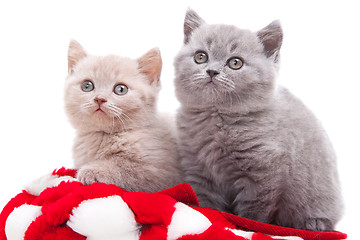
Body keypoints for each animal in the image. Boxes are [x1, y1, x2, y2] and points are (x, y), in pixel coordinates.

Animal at [64, 40, 181, 192]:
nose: (99, 99)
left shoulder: (159, 172)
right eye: (87, 85)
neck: (104, 135)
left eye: (121, 89)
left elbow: (122, 166)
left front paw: (91, 170)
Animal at [174, 9, 344, 232]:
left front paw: (246, 226)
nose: (211, 71)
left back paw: (315, 223)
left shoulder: (263, 171)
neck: (216, 117)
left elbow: (253, 209)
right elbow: (206, 204)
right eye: (201, 57)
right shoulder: (198, 169)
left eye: (235, 63)